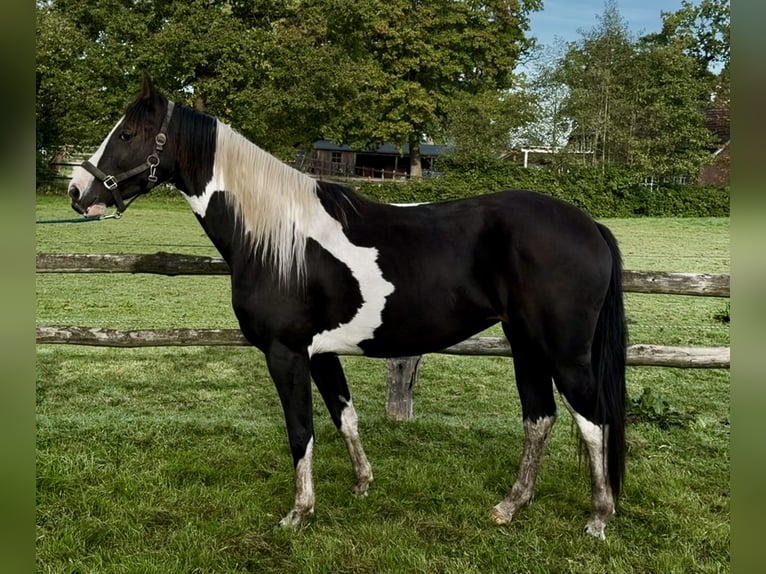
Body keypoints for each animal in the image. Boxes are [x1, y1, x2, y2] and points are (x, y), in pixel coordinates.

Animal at [68, 74, 627, 539]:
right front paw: (362, 484)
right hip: (525, 345)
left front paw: (298, 514)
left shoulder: (286, 353)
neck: (279, 238)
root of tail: (589, 225)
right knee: (540, 418)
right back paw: (511, 506)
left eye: (127, 134)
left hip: (564, 354)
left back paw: (599, 518)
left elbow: (301, 431)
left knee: (591, 421)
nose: (78, 191)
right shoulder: (321, 354)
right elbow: (345, 416)